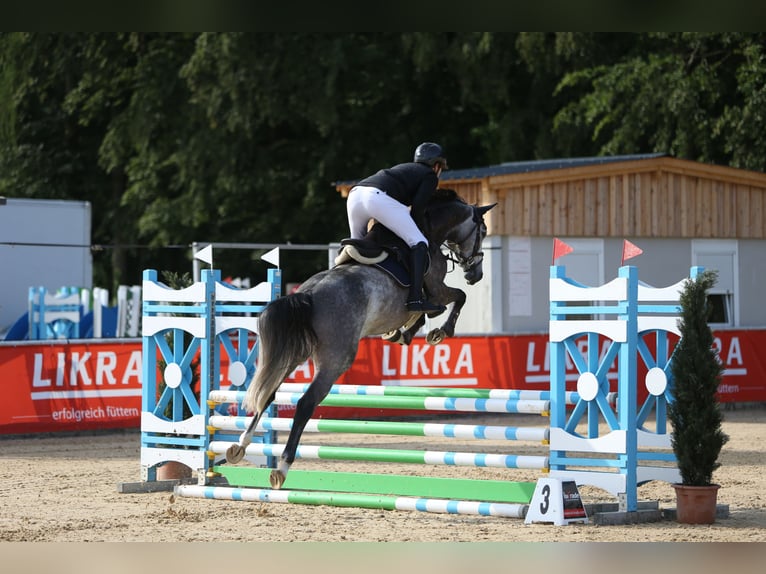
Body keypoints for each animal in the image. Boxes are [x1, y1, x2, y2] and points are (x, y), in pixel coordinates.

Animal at [225, 189, 500, 490]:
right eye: (483, 231)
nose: (475, 275)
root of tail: (307, 294)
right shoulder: (437, 290)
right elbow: (457, 298)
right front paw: (439, 332)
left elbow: (422, 315)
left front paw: (401, 334)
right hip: (337, 359)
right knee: (306, 402)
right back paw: (282, 467)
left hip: (296, 353)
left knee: (269, 392)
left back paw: (240, 445)